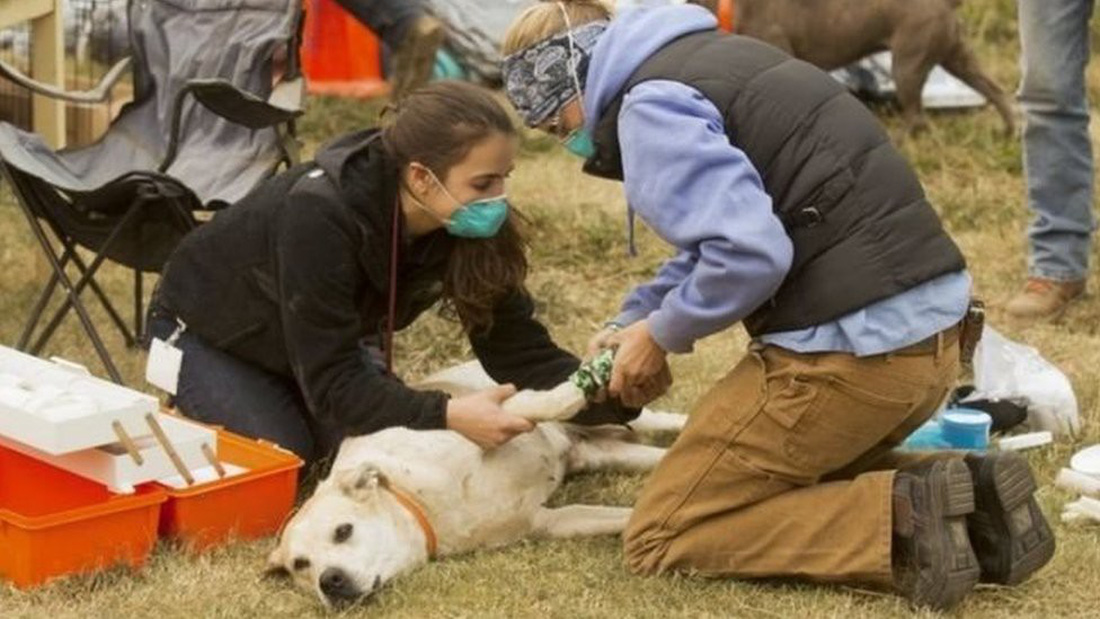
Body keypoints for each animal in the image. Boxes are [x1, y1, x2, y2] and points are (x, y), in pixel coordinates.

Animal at [266, 360, 682, 606]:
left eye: (343, 530)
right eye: (300, 565)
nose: (329, 581)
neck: (419, 501)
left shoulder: (493, 412)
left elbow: (544, 403)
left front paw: (581, 385)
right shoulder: (547, 522)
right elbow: (624, 518)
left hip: (626, 421)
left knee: (665, 421)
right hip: (605, 452)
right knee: (658, 457)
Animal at [690, 0, 1016, 134]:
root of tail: (947, 3)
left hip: (907, 64)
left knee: (916, 116)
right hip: (956, 57)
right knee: (997, 91)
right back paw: (1008, 132)